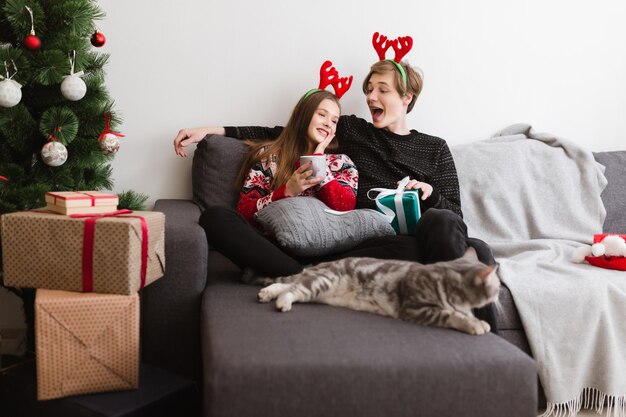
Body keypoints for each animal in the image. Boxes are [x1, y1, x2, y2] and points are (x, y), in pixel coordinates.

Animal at [254, 247, 498, 334]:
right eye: (496, 288)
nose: (497, 296)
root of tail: (319, 264)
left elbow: (462, 312)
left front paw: (475, 319)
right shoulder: (416, 308)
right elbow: (451, 315)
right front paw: (474, 325)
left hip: (317, 283)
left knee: (287, 284)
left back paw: (267, 293)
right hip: (323, 281)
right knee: (291, 290)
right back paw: (282, 302)